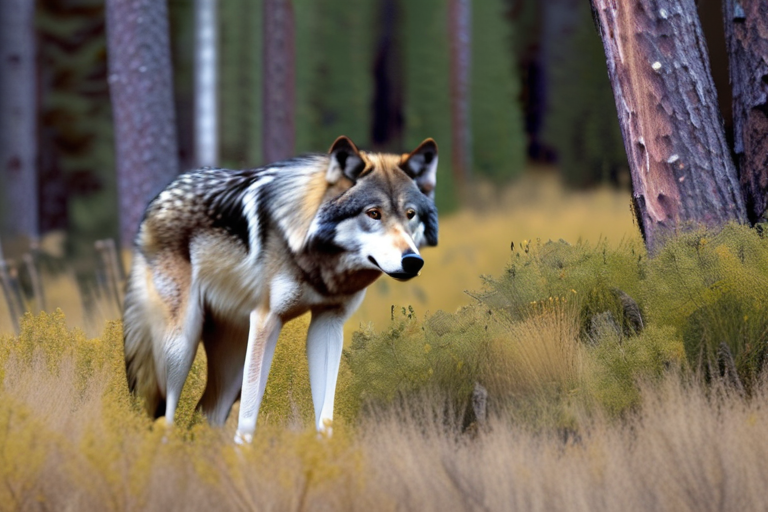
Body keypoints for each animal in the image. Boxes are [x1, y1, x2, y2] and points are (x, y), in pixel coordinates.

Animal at [123, 136, 438, 443]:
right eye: (373, 213)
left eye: (410, 214)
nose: (412, 261)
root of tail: (158, 199)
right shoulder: (266, 319)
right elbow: (247, 420)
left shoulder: (329, 323)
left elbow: (325, 417)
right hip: (179, 350)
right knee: (166, 418)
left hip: (231, 367)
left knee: (203, 417)